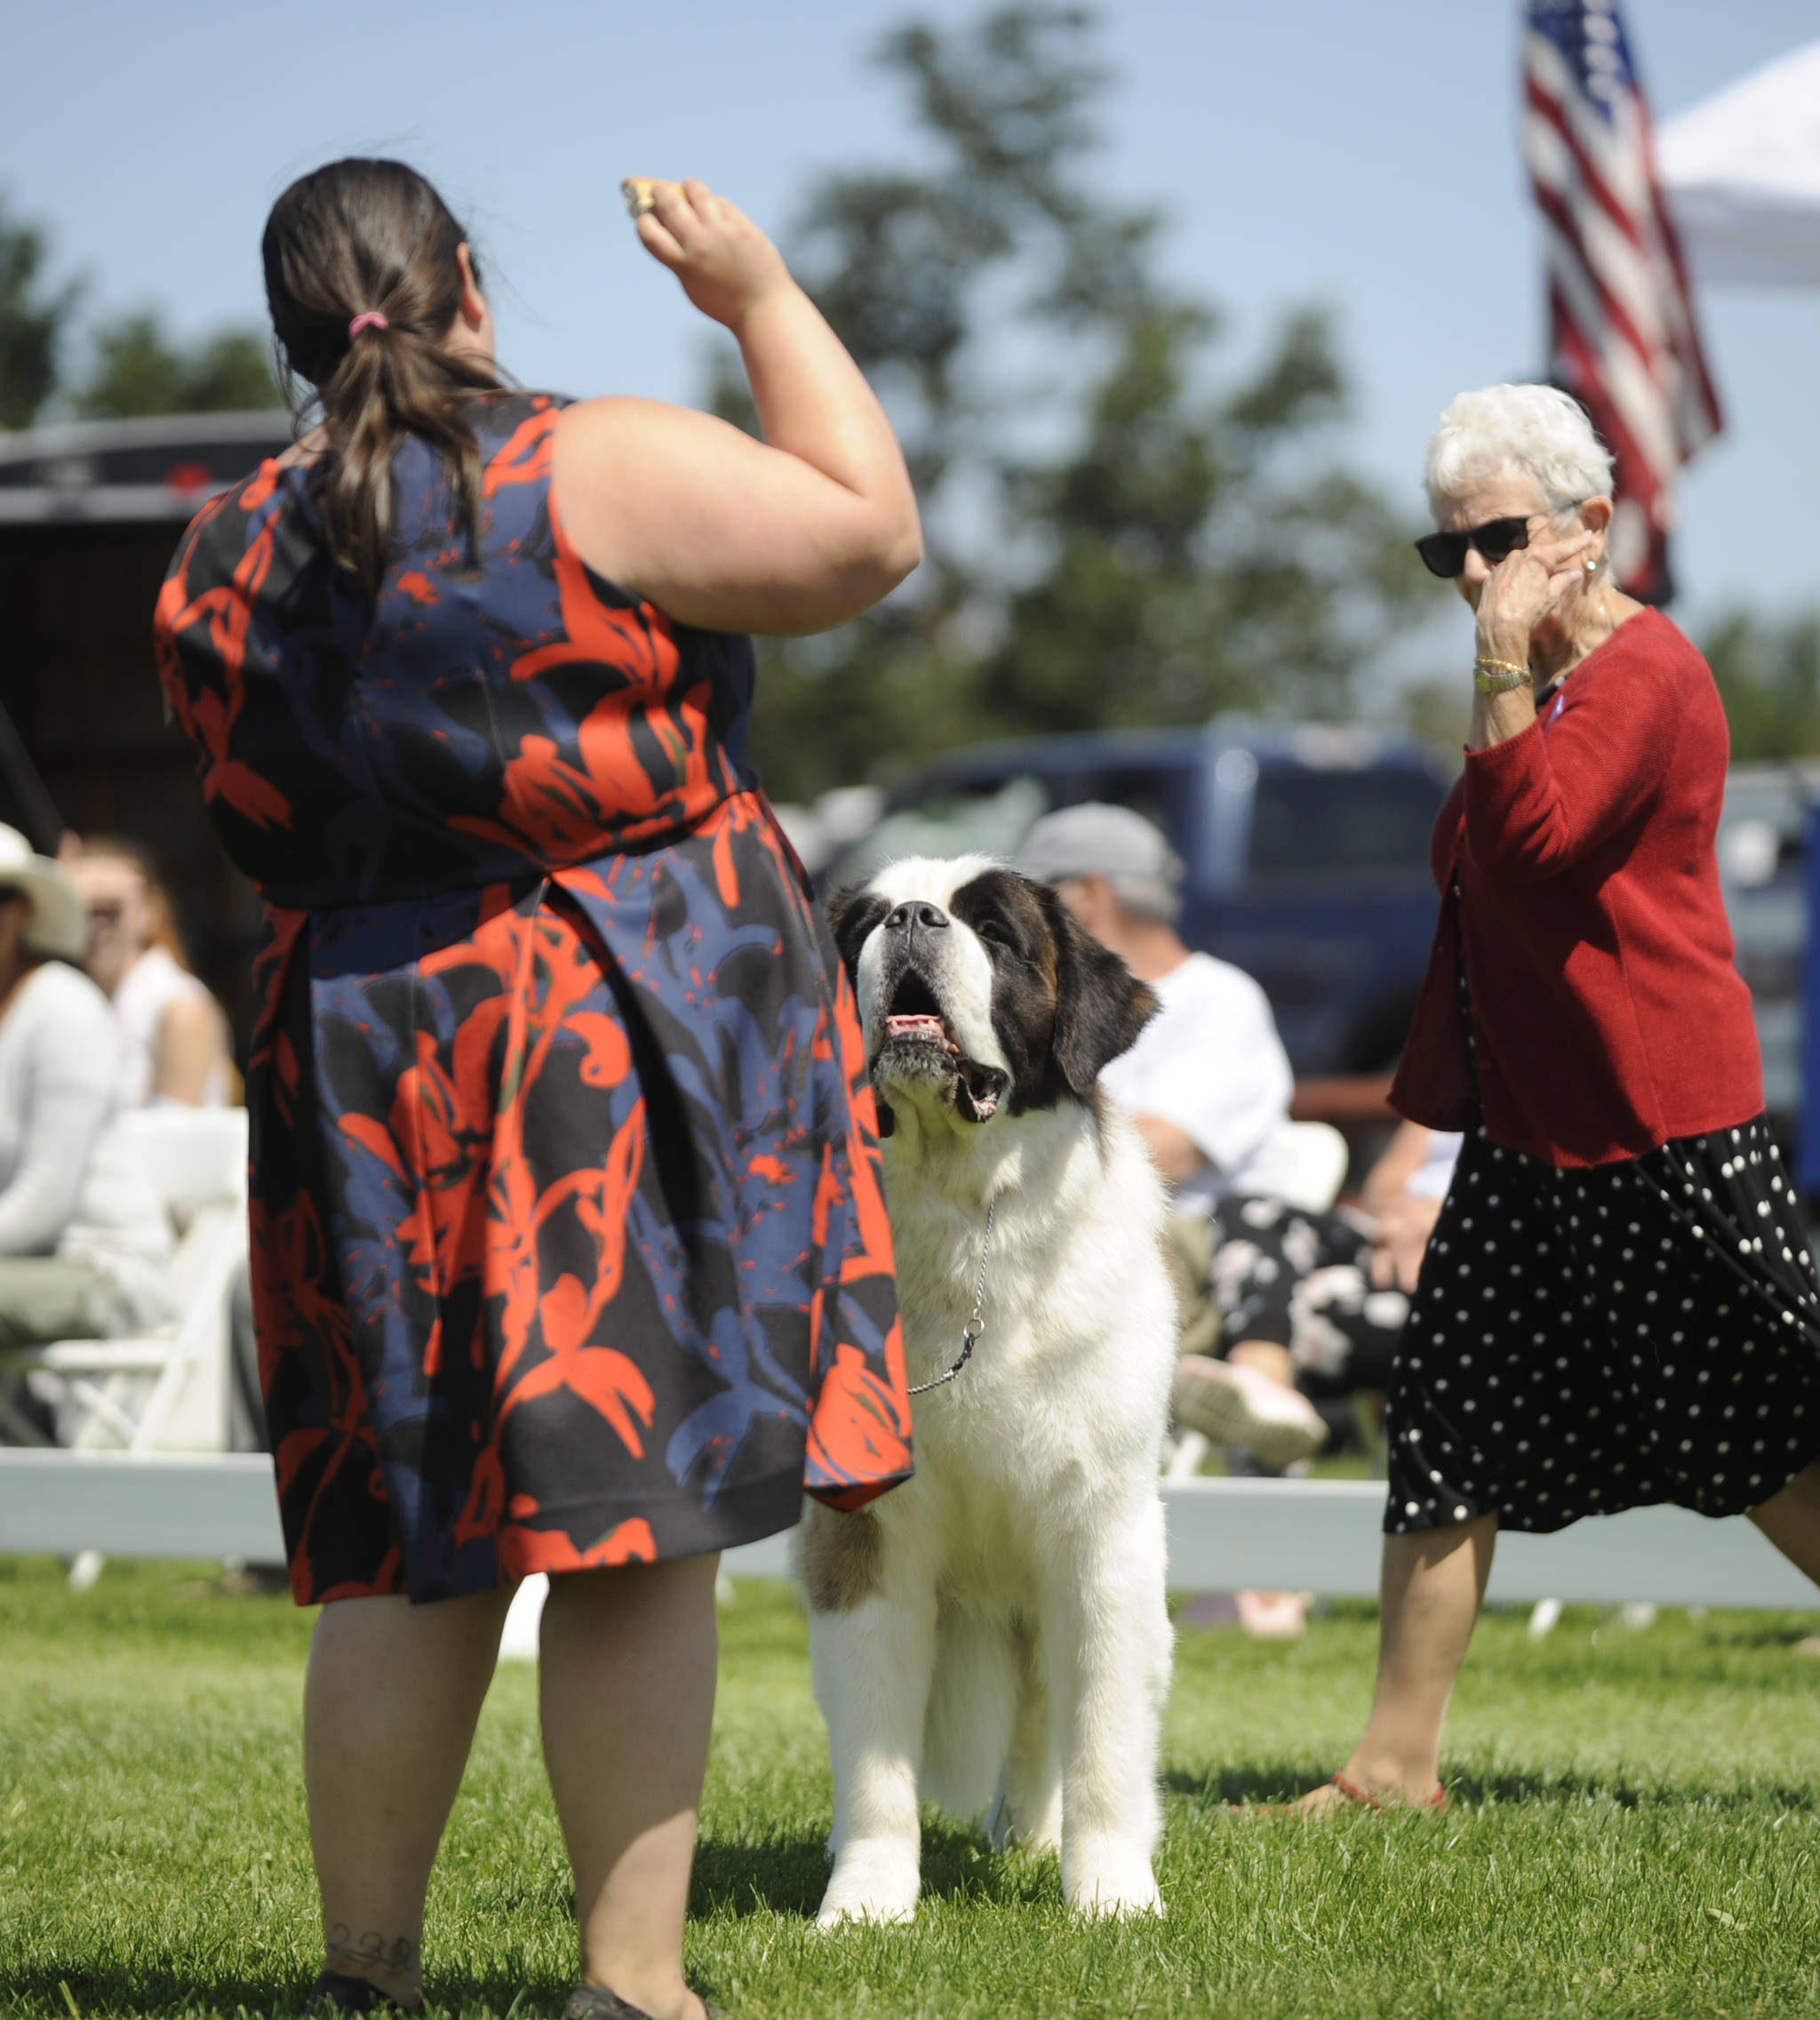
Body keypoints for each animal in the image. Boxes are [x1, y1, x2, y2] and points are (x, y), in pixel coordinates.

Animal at [805, 854, 1178, 1924]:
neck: (966, 1223)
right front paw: (866, 1902)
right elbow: (876, 1753)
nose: (910, 916)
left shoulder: (1101, 1534)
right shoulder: (866, 1533)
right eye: (865, 927)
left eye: (996, 931)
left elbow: (1102, 1738)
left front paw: (1111, 1895)